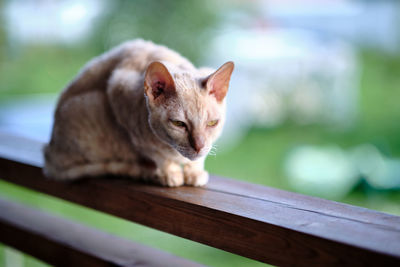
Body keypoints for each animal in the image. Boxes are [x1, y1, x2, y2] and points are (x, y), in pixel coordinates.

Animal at [43, 38, 234, 187]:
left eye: (212, 123)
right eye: (179, 124)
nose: (199, 146)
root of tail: (49, 153)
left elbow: (198, 160)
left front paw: (194, 173)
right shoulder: (119, 92)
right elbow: (158, 155)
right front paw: (170, 174)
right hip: (88, 108)